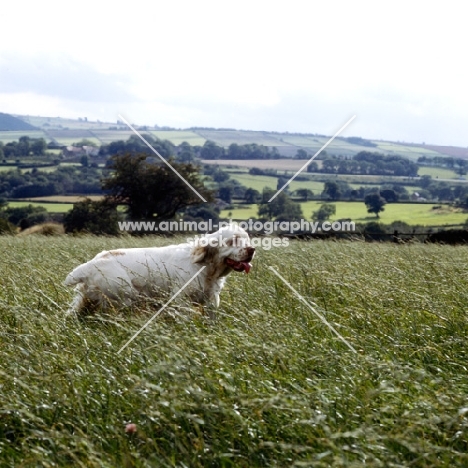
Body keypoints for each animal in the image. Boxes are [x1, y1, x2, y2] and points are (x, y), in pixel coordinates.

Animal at [63, 226, 254, 314]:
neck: (205, 267)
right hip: (125, 297)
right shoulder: (180, 299)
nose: (252, 249)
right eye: (232, 241)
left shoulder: (211, 299)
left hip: (85, 301)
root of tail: (90, 265)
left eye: (246, 239)